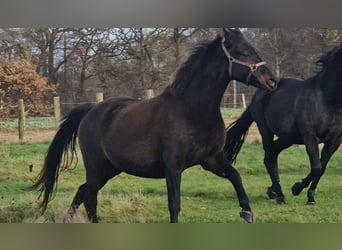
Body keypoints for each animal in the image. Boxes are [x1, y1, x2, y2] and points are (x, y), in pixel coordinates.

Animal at [30, 28, 278, 223]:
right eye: (243, 52)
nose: (272, 81)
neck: (192, 110)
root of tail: (90, 110)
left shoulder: (212, 160)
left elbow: (236, 176)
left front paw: (247, 212)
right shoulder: (173, 167)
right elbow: (174, 204)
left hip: (110, 169)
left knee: (82, 192)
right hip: (96, 166)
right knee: (90, 198)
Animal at [224, 43, 342, 205]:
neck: (326, 99)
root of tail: (261, 92)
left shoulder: (334, 141)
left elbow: (321, 168)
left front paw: (310, 197)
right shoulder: (310, 137)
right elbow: (317, 167)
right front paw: (296, 188)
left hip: (289, 137)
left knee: (273, 153)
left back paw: (272, 191)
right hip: (265, 130)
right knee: (269, 158)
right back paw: (280, 196)